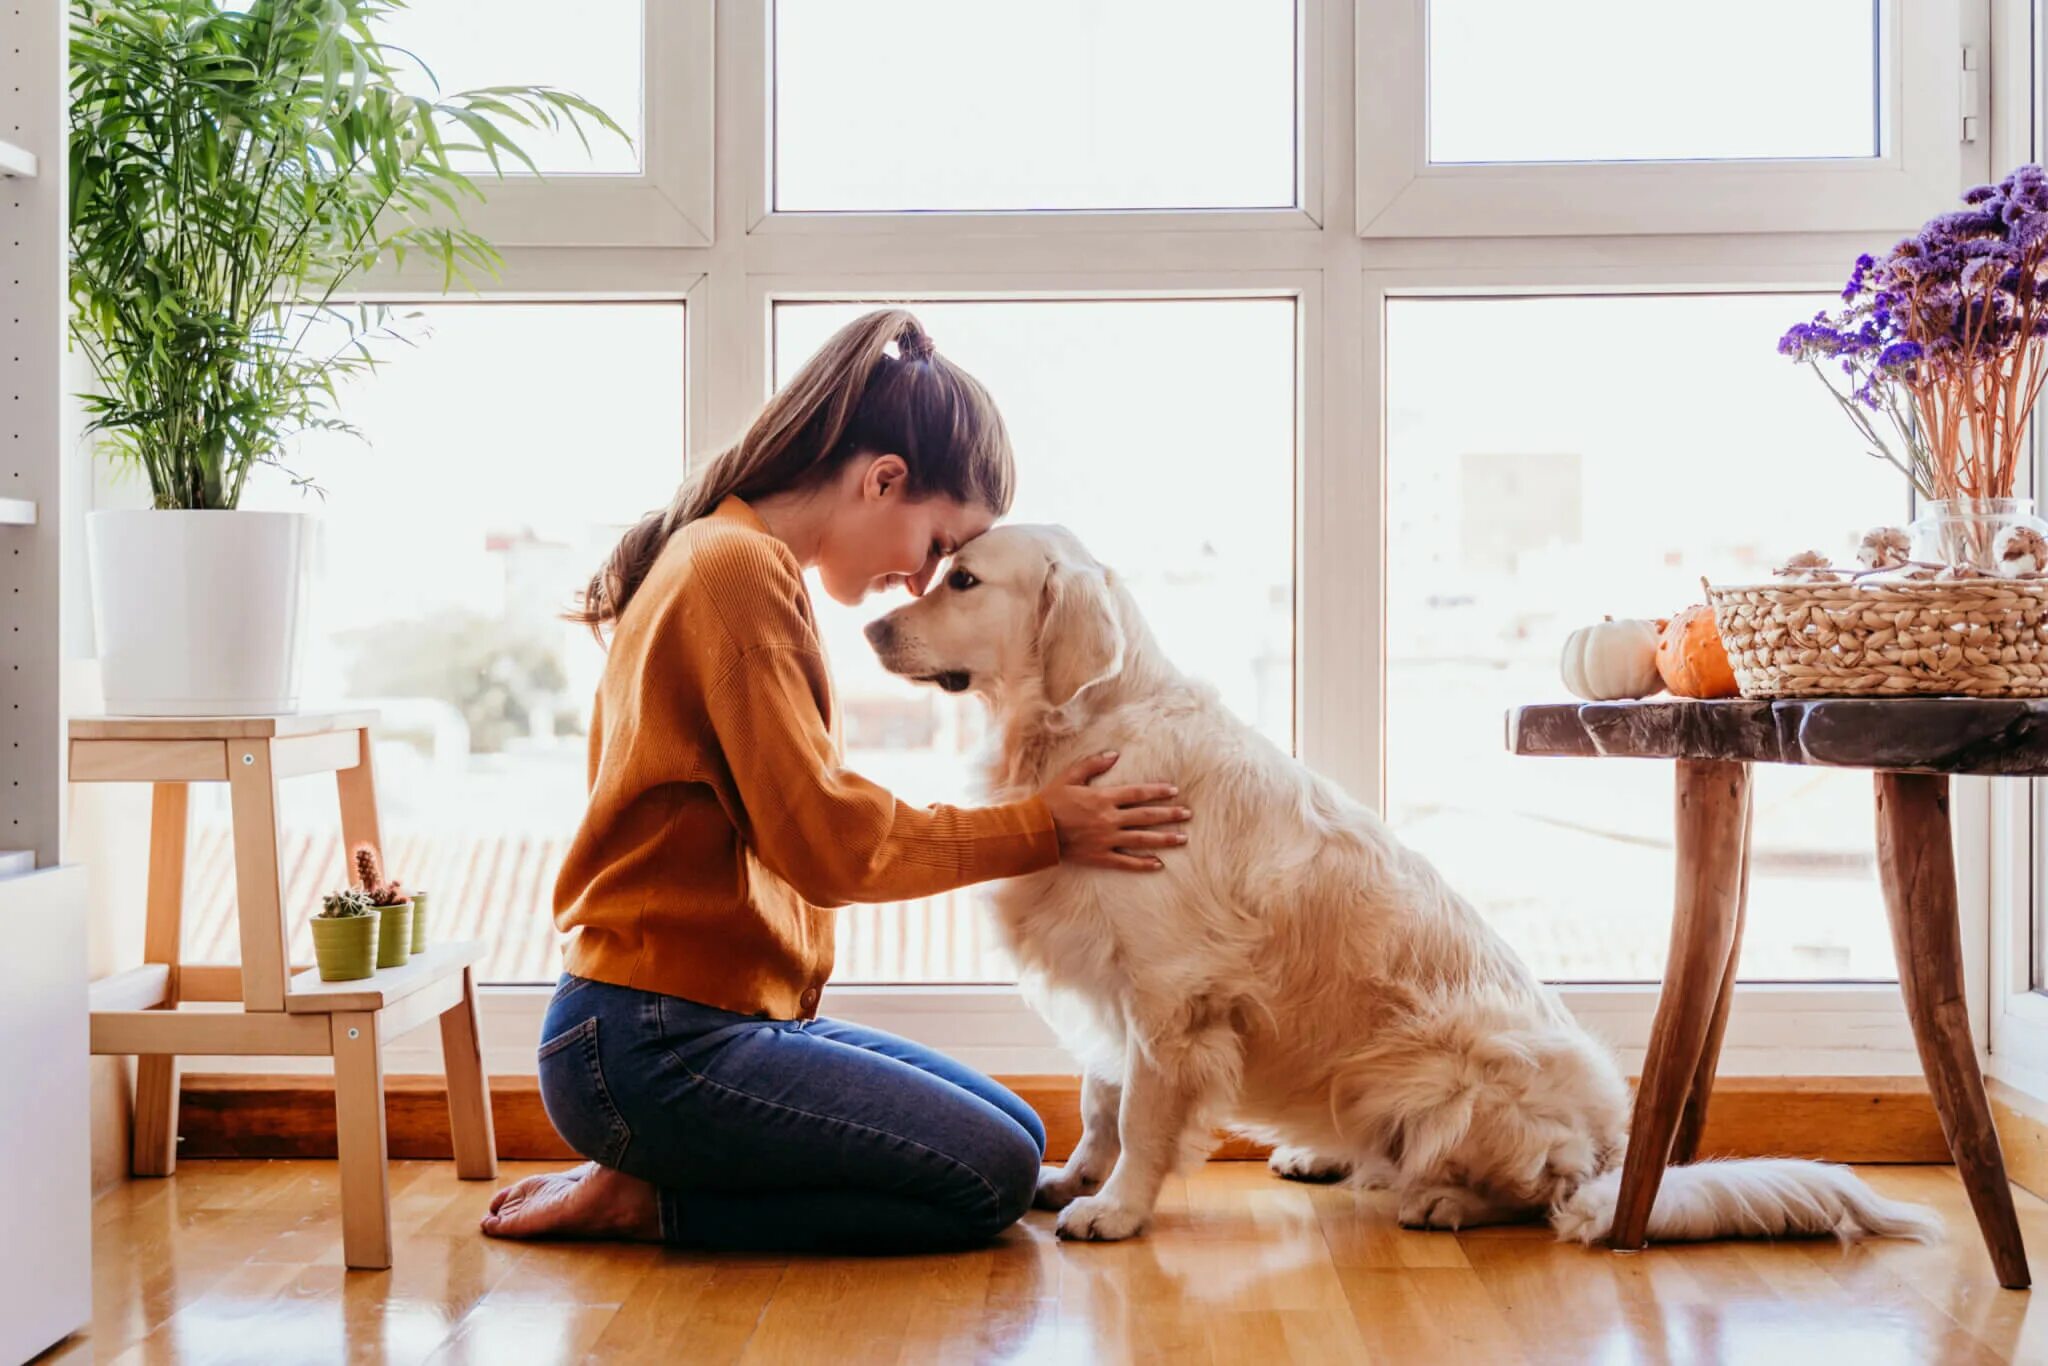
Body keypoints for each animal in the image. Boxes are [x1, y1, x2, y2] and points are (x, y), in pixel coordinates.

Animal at [860, 524, 1933, 1253]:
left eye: (963, 580)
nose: (868, 626)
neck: (1083, 729)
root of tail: (1614, 1151)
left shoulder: (1170, 994)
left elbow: (1145, 1116)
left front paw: (1114, 1208)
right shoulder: (1111, 980)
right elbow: (1100, 1096)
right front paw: (1072, 1175)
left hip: (1445, 1070)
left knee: (1535, 1194)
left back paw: (1440, 1198)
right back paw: (1327, 1155)